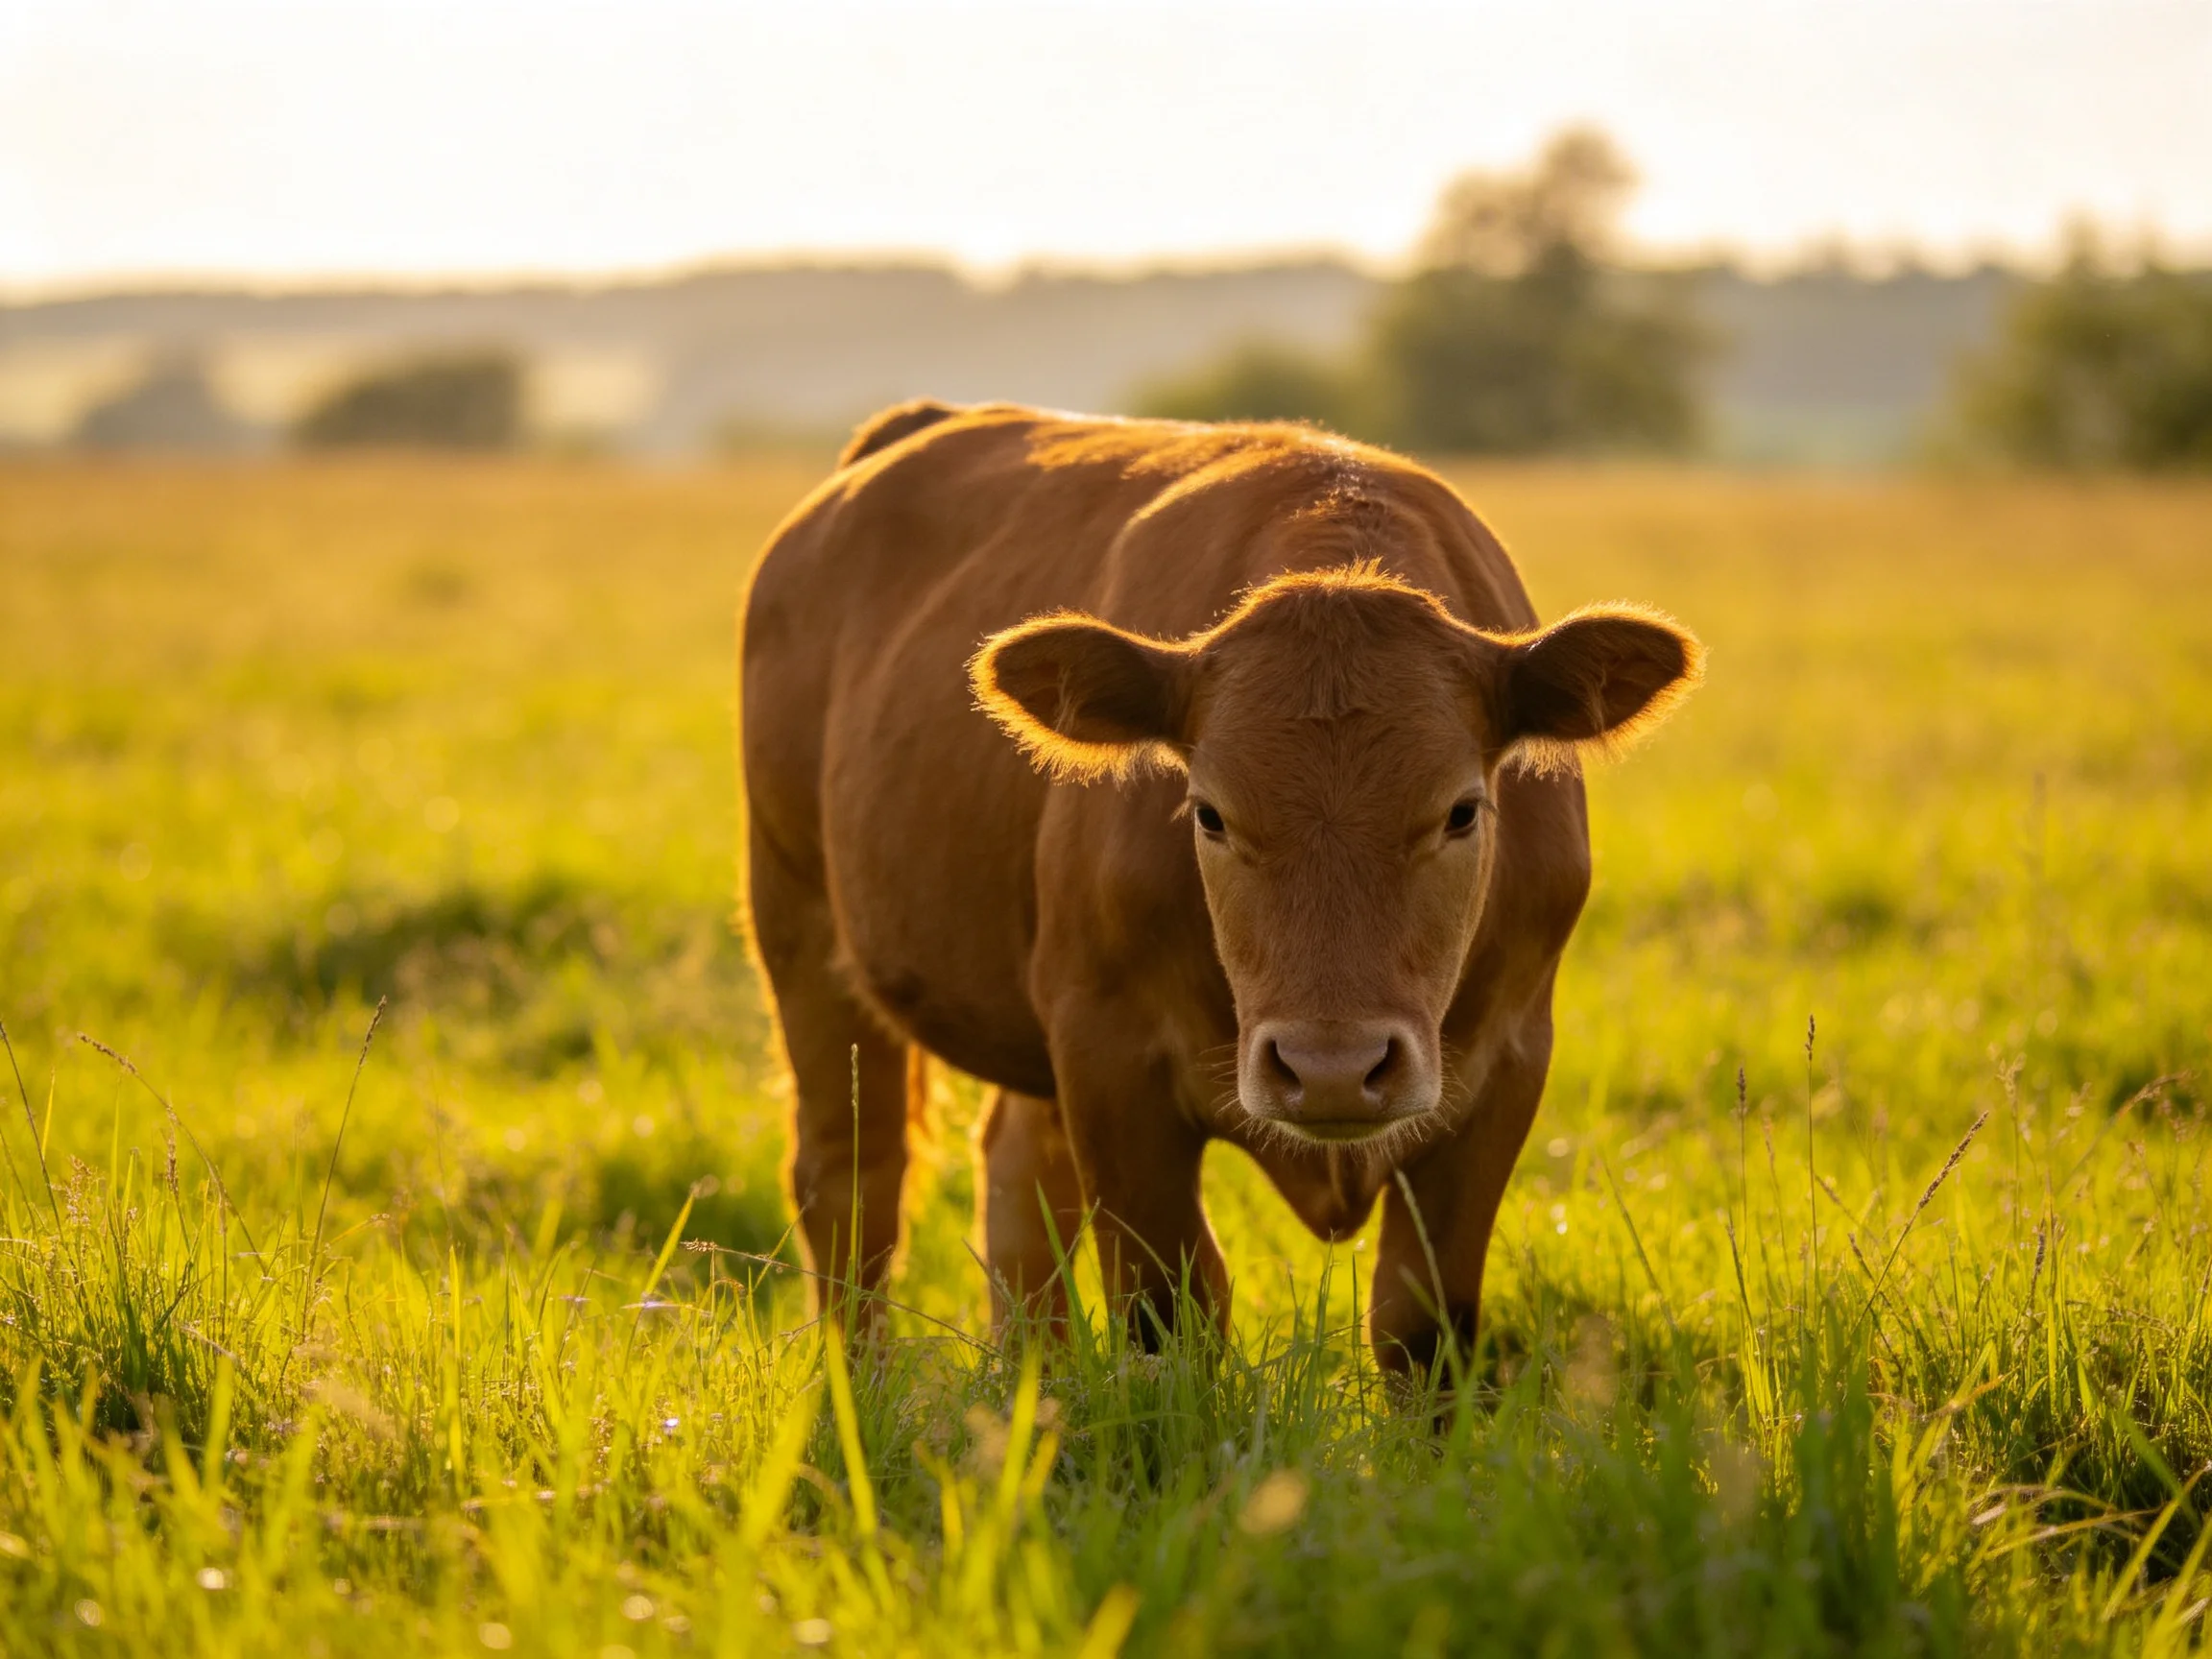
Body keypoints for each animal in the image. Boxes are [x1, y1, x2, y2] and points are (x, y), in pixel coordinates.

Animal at [739, 400, 1700, 1373]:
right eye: (1209, 814)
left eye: (1462, 811)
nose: (1332, 1070)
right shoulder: (1108, 1056)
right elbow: (1170, 1308)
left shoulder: (1506, 1062)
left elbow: (1418, 1321)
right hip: (798, 920)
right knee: (852, 1177)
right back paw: (861, 1385)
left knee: (1016, 1176)